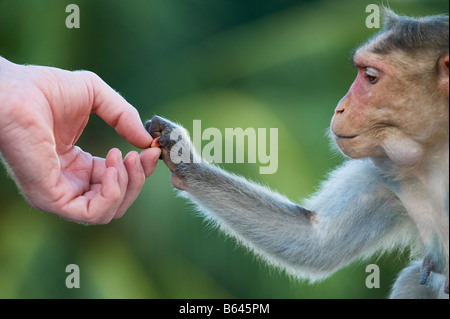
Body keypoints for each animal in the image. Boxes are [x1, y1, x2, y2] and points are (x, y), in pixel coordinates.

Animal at [146, 10, 448, 300]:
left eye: (371, 77)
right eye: (363, 73)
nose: (340, 107)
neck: (436, 153)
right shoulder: (384, 172)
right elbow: (315, 240)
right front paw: (181, 155)